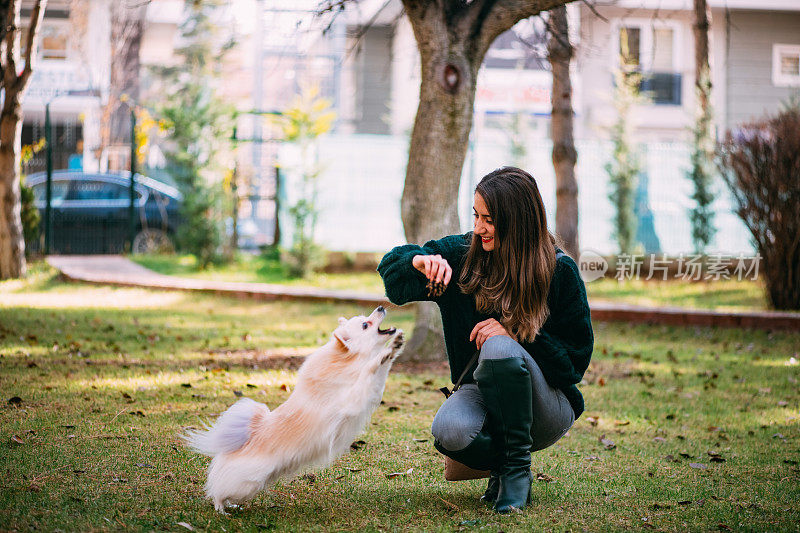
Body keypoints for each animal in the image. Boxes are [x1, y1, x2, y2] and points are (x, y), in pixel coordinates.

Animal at [184, 306, 404, 512]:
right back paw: (221, 509)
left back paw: (232, 506)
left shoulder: (370, 392)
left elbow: (380, 372)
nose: (381, 307)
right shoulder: (353, 399)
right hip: (245, 483)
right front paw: (384, 353)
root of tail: (248, 436)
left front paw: (395, 347)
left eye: (365, 319)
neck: (348, 362)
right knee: (218, 492)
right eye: (365, 325)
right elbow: (371, 369)